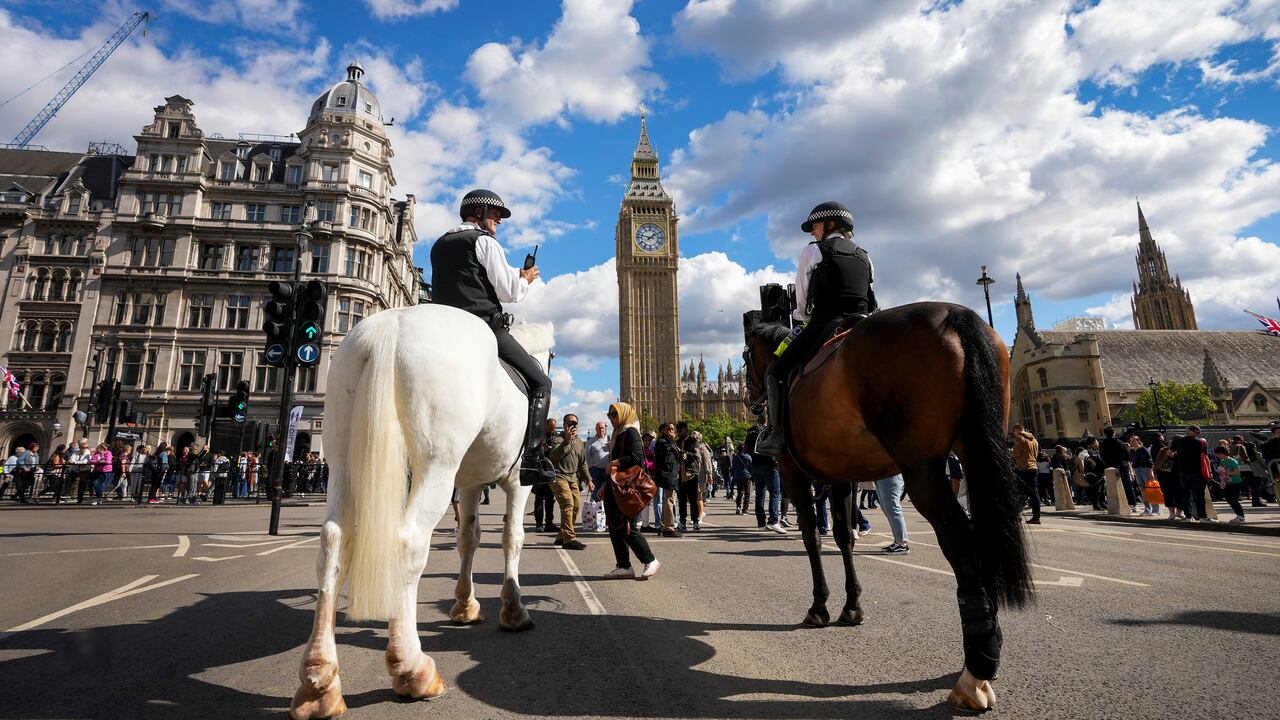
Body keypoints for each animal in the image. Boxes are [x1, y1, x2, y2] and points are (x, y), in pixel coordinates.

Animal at [290, 304, 553, 720]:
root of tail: (390, 324)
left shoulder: (470, 482)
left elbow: (468, 538)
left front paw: (464, 605)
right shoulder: (517, 482)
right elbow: (512, 537)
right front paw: (513, 610)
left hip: (342, 461)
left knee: (333, 543)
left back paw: (320, 681)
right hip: (435, 466)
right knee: (408, 543)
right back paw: (413, 669)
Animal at [741, 302, 1032, 713]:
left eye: (747, 356)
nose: (751, 402)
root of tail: (954, 314)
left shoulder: (792, 472)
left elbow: (813, 537)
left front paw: (819, 607)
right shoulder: (841, 472)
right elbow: (843, 536)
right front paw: (852, 606)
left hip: (921, 465)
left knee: (960, 538)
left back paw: (974, 673)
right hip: (978, 448)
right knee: (985, 532)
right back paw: (987, 647)